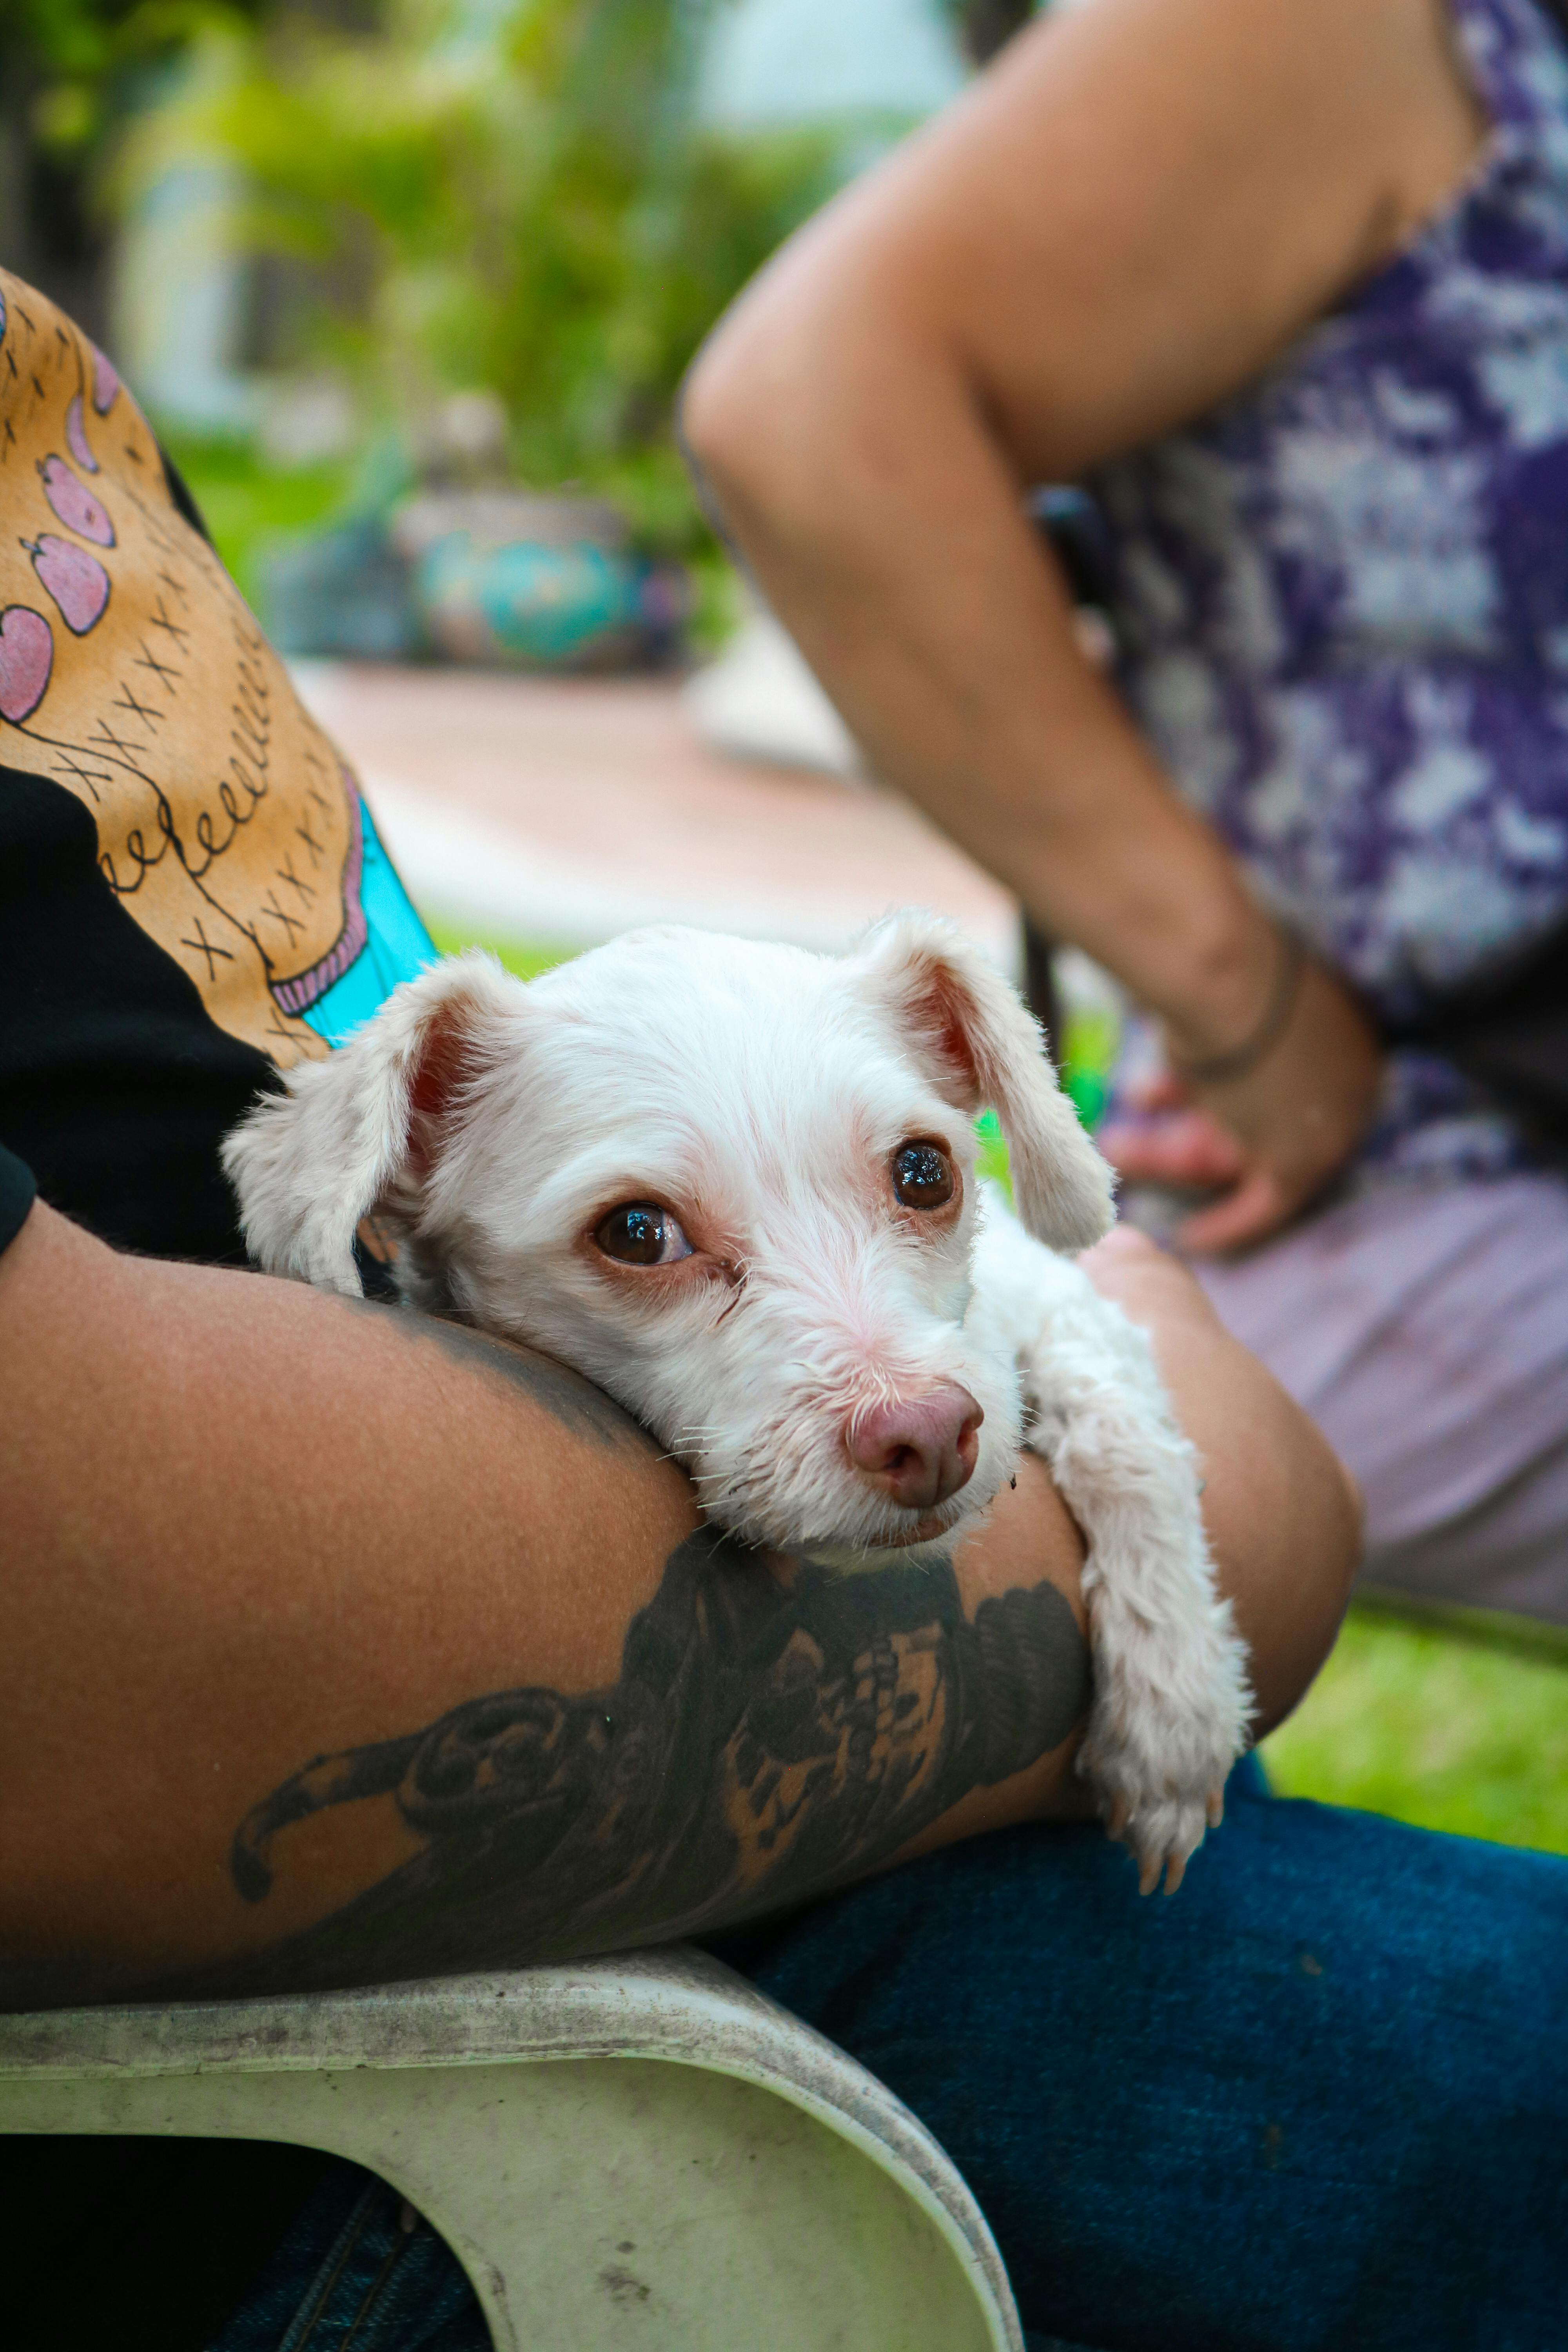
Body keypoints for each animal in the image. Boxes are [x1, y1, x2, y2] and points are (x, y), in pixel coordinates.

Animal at [223, 908, 1250, 1882]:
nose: (928, 1437)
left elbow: (1126, 1434)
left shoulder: (1046, 1299)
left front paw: (1174, 1712)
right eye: (636, 1233)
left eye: (925, 1172)